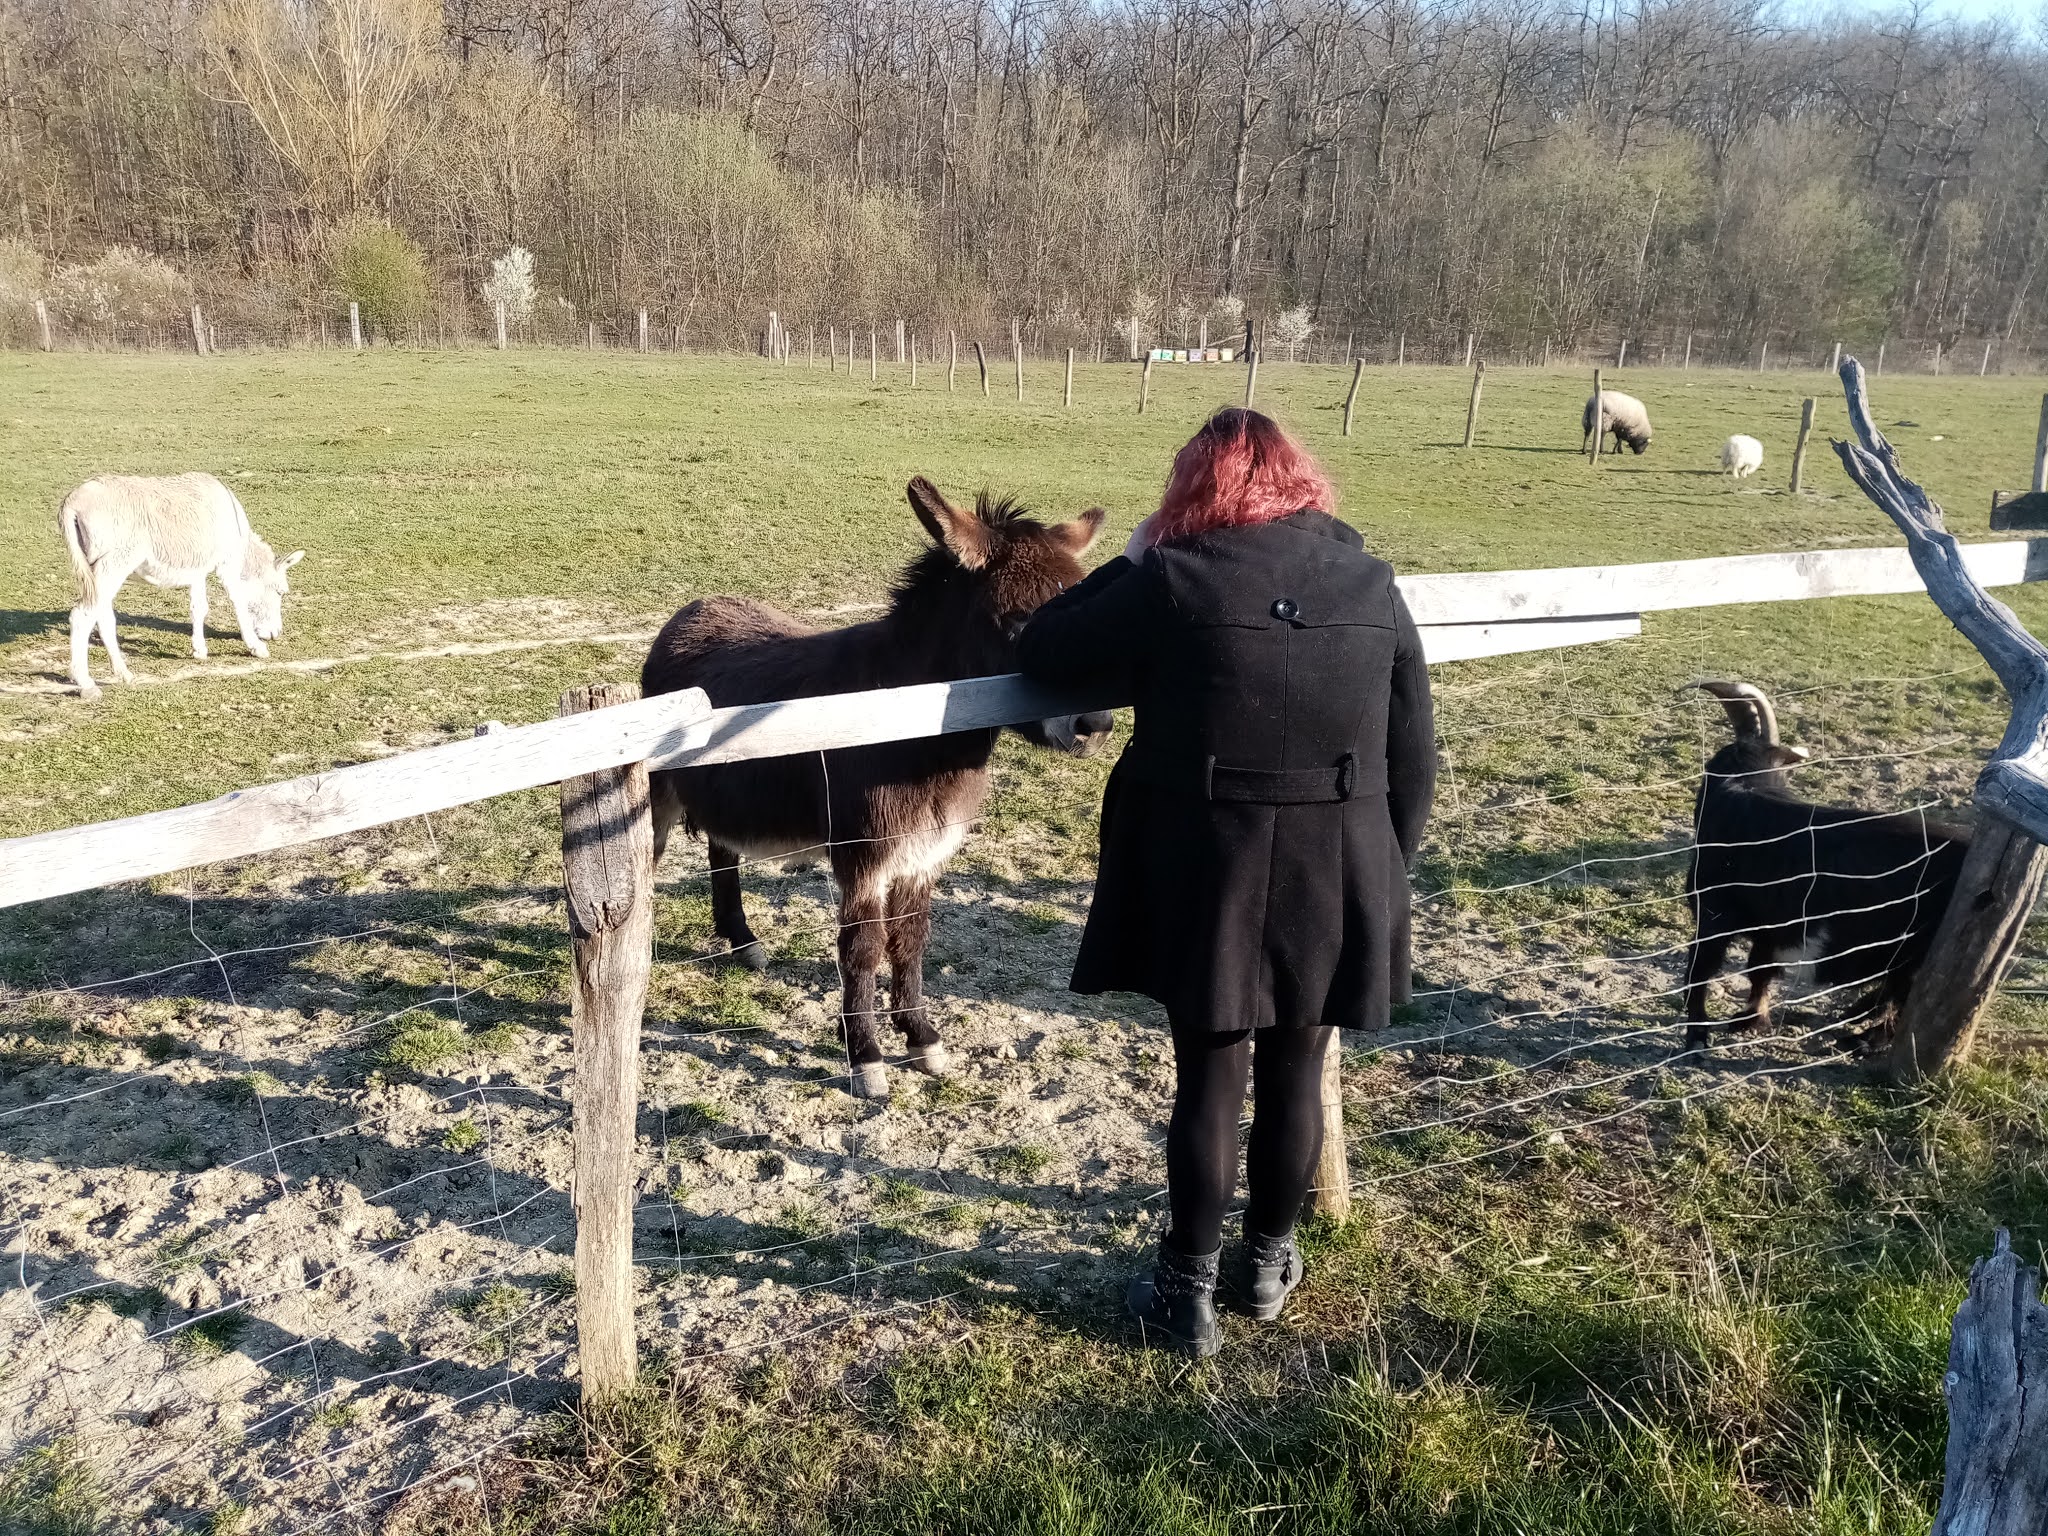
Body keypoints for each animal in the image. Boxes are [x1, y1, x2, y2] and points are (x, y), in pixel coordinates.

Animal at [642, 477, 1114, 1098]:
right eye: (1015, 623)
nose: (1096, 726)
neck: (916, 732)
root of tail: (690, 609)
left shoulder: (923, 854)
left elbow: (909, 941)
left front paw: (920, 1038)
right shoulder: (863, 855)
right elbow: (862, 949)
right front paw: (865, 1055)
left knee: (724, 851)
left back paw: (743, 942)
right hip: (656, 794)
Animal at [1681, 681, 1970, 1054]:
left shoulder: (1714, 915)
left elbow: (1700, 970)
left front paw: (1698, 1036)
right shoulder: (1771, 927)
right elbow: (1759, 969)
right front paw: (1750, 1020)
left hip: (1920, 950)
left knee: (1904, 996)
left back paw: (1862, 1040)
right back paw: (1855, 1018)